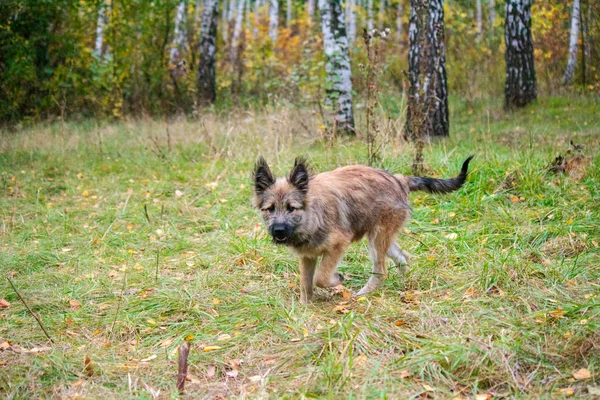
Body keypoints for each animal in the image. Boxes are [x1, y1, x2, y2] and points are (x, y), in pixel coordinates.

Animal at [253, 156, 474, 304]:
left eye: (291, 208)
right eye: (270, 209)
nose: (279, 231)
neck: (311, 217)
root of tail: (399, 179)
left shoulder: (338, 245)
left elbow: (321, 278)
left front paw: (338, 279)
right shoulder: (308, 256)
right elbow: (306, 284)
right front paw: (304, 308)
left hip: (376, 240)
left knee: (381, 271)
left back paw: (363, 294)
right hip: (384, 238)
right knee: (403, 258)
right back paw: (403, 285)